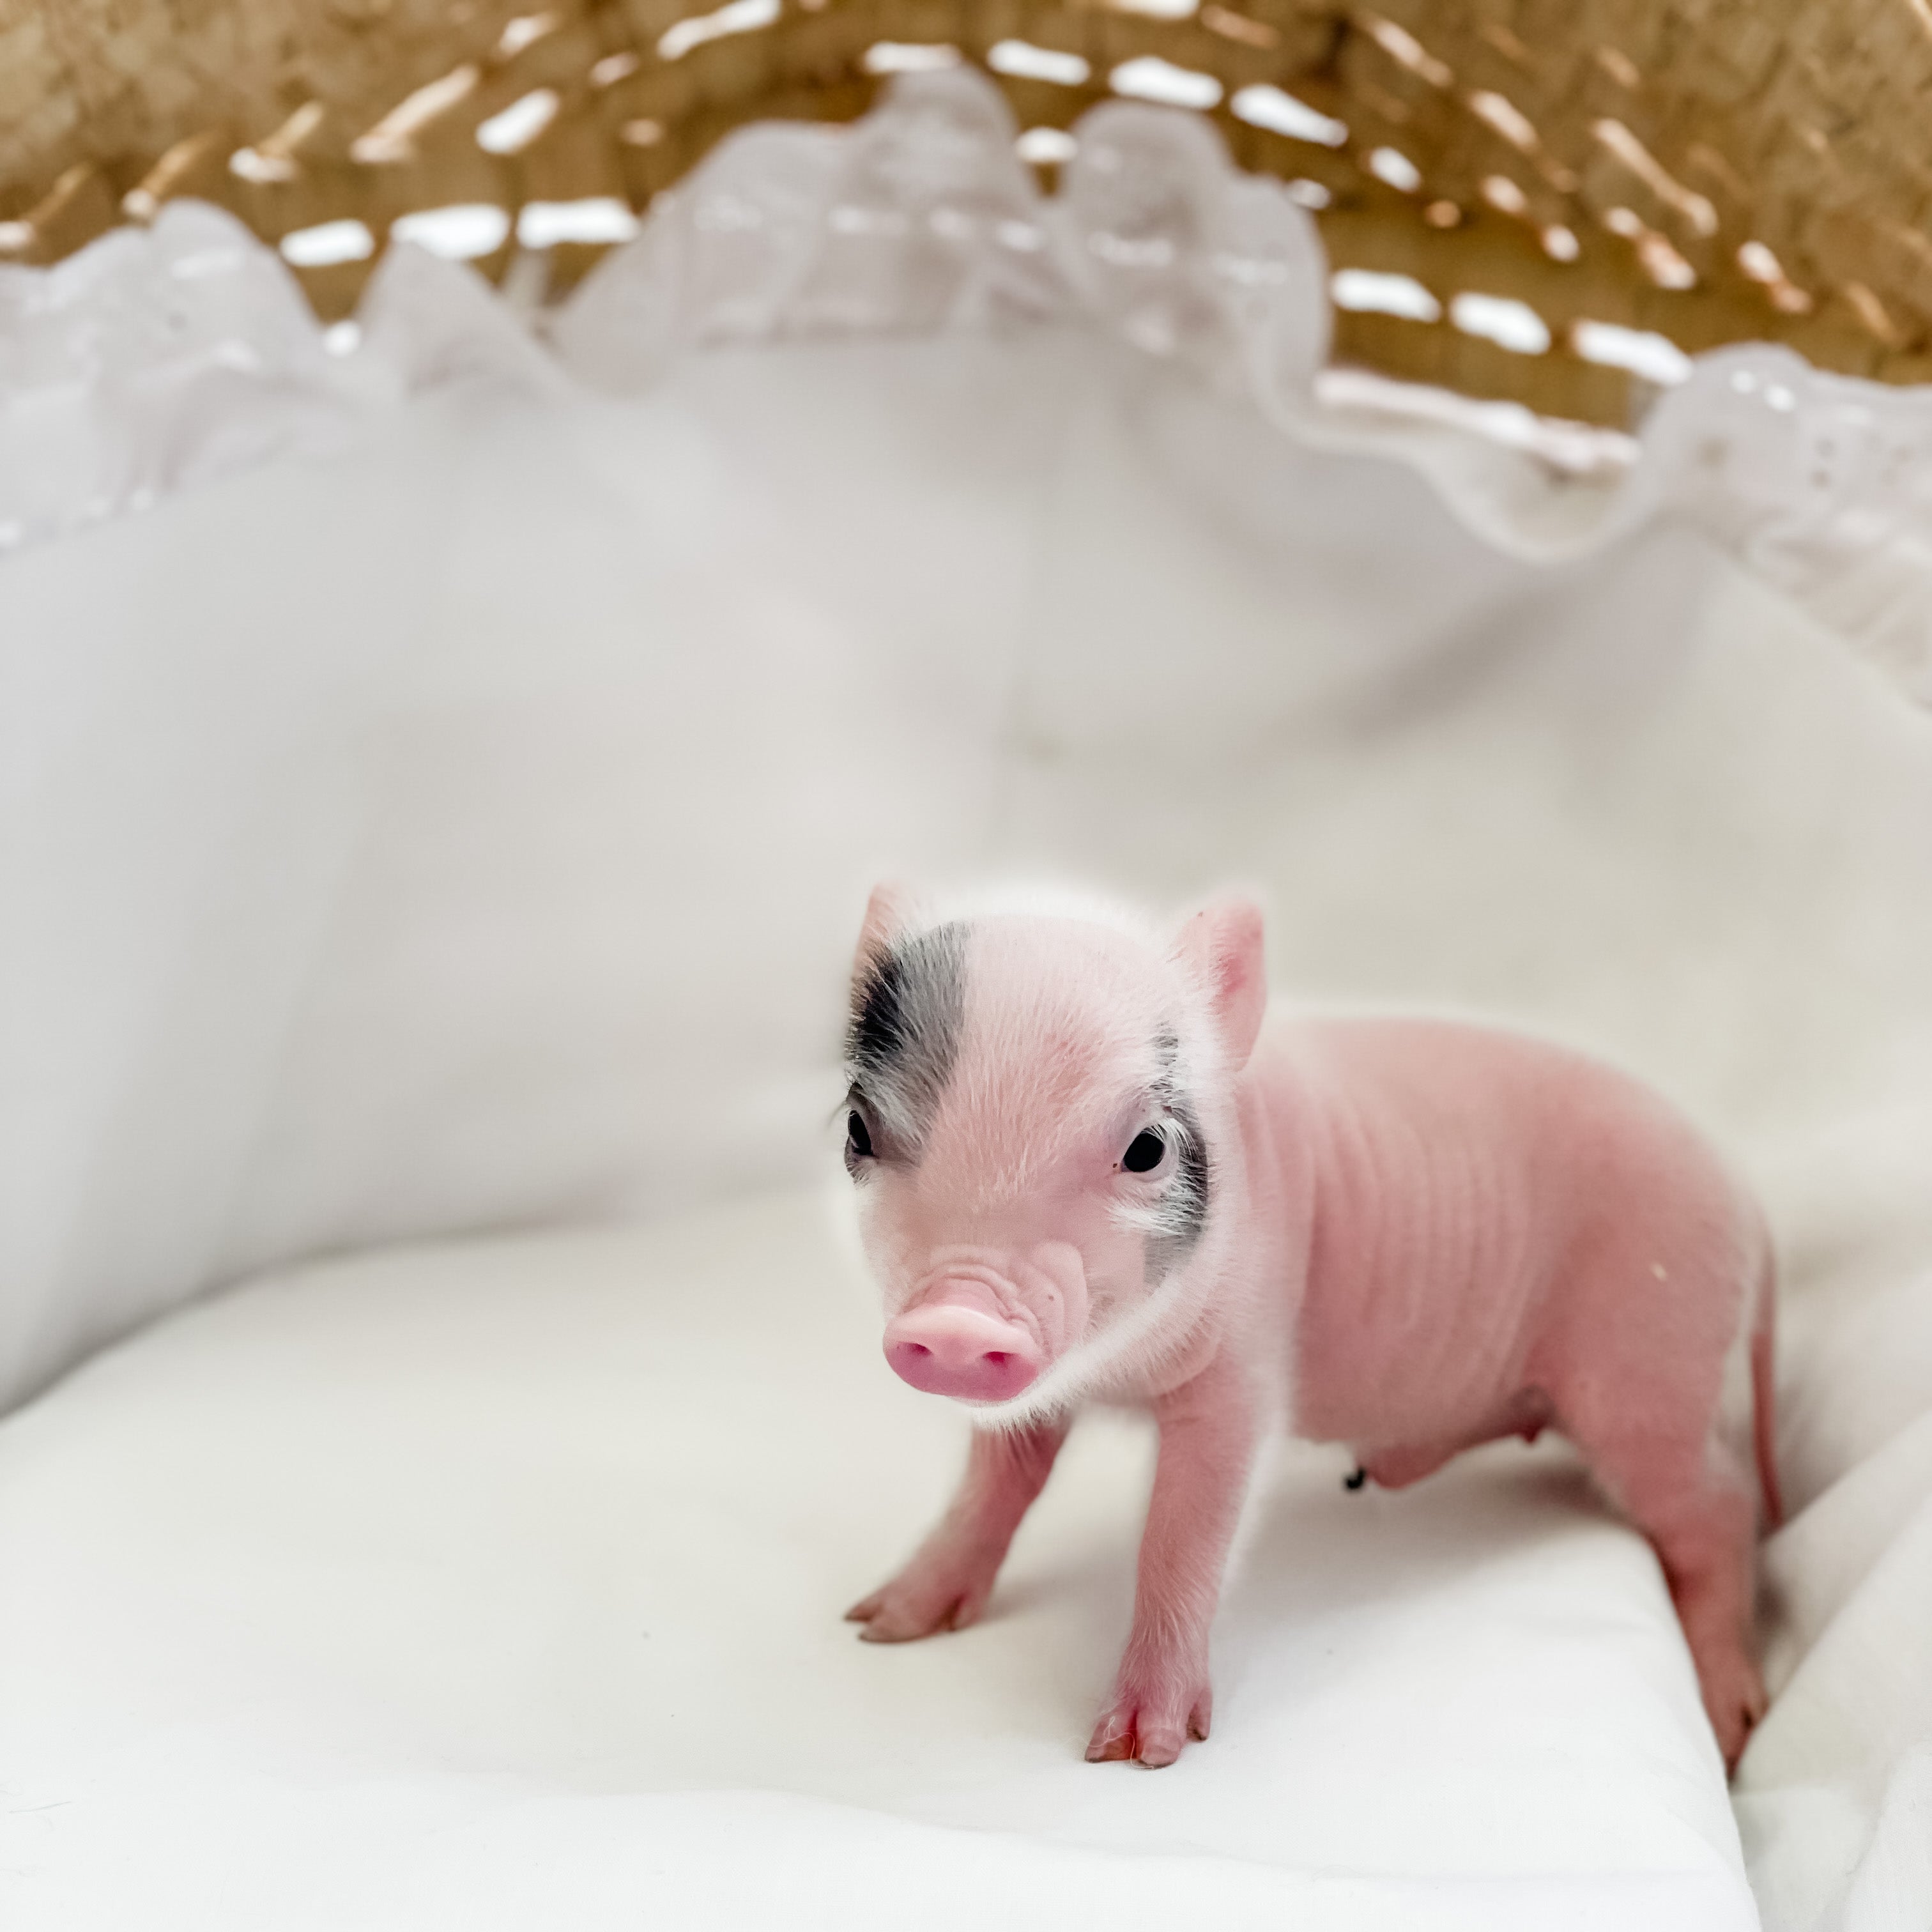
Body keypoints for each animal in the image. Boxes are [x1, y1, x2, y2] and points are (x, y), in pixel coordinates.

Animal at [840, 885, 1781, 1771]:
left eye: (1147, 1150)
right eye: (857, 1126)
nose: (957, 1320)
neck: (1119, 1369)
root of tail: (1744, 1198)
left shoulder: (1244, 1367)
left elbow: (1185, 1533)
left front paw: (1137, 1752)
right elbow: (995, 1485)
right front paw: (877, 1625)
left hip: (1652, 1361)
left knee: (1721, 1508)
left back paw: (1734, 1727)